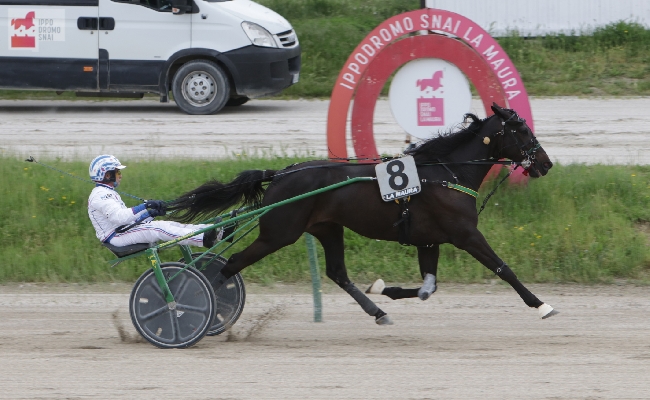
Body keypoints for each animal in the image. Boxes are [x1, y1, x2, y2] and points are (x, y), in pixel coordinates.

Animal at [168, 104, 556, 324]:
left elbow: (428, 287)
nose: (546, 164)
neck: (447, 172)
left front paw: (386, 289)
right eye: (522, 130)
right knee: (232, 264)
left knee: (338, 273)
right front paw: (540, 304)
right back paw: (197, 306)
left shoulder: (429, 241)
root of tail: (280, 175)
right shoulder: (465, 235)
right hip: (279, 233)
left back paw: (378, 312)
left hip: (327, 228)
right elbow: (503, 268)